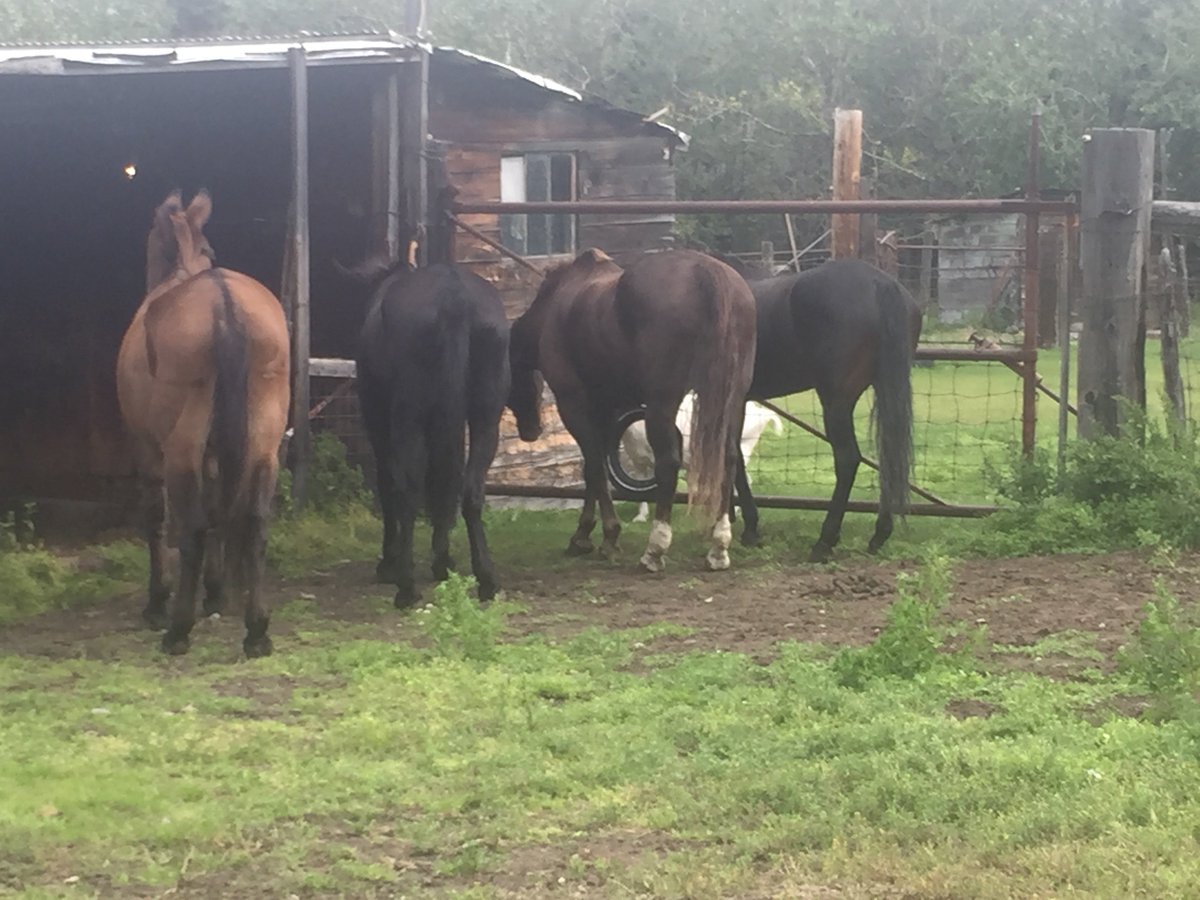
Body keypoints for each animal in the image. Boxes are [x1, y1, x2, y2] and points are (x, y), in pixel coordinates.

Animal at [116, 190, 291, 657]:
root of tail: (223, 303)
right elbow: (219, 516)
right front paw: (214, 593)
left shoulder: (146, 450)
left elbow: (158, 520)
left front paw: (158, 601)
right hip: (263, 446)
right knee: (254, 523)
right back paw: (257, 630)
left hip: (180, 450)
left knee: (191, 528)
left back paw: (177, 629)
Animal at [353, 240, 510, 608]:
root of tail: (454, 299)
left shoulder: (378, 419)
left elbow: (387, 482)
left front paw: (389, 561)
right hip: (485, 417)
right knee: (468, 488)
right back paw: (484, 578)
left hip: (407, 416)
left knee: (407, 488)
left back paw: (406, 586)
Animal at [508, 247, 757, 573]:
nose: (530, 430)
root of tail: (707, 273)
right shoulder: (605, 408)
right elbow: (592, 469)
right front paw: (585, 536)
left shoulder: (574, 405)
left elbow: (594, 467)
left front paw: (606, 537)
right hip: (732, 399)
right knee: (728, 459)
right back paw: (719, 547)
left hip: (662, 402)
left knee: (668, 461)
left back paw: (655, 549)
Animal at [721, 256, 922, 561]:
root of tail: (879, 283)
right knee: (889, 455)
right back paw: (879, 534)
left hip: (836, 400)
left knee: (848, 458)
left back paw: (824, 541)